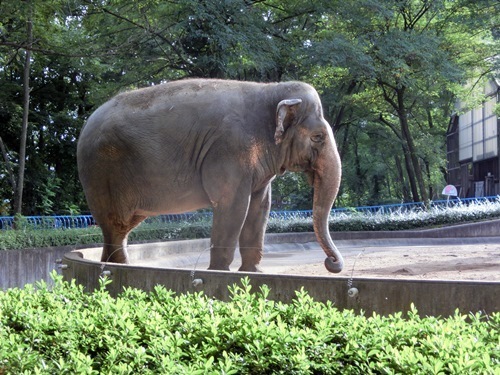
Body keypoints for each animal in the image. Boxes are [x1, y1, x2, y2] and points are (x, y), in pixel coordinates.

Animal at [77, 78, 344, 274]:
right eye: (318, 137)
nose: (331, 263)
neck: (269, 90)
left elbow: (260, 208)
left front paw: (252, 273)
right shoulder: (230, 149)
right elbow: (233, 205)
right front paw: (219, 273)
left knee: (120, 229)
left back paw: (113, 266)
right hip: (101, 173)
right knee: (115, 224)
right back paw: (118, 269)